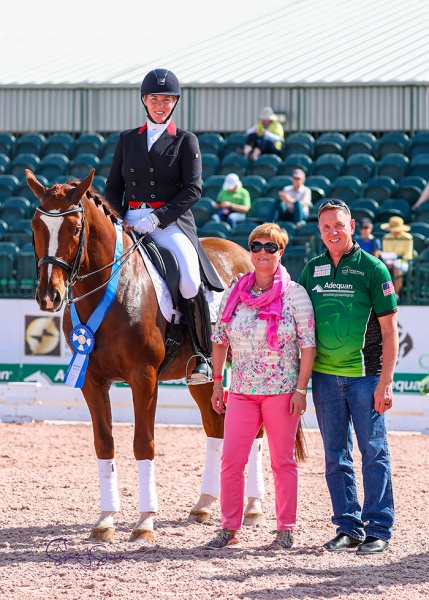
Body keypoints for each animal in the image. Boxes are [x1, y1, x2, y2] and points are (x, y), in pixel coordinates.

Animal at [25, 169, 270, 544]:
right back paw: (204, 505)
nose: (48, 296)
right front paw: (105, 520)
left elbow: (144, 444)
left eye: (76, 228)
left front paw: (144, 523)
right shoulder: (92, 381)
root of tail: (243, 252)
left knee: (254, 432)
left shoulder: (144, 378)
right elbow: (104, 444)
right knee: (215, 427)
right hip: (202, 378)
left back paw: (254, 508)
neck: (112, 289)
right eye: (36, 225)